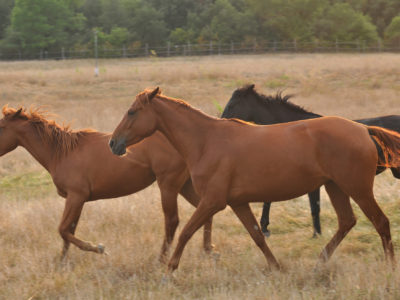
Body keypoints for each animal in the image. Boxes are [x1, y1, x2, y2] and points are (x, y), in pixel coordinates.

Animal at [0, 106, 214, 262]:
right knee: (205, 211)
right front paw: (62, 262)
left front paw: (98, 248)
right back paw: (208, 250)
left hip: (168, 185)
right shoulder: (77, 200)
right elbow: (68, 232)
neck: (61, 153)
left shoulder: (76, 196)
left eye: (1, 128)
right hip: (185, 186)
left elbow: (63, 230)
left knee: (172, 221)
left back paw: (162, 259)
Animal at [110, 86, 400, 272]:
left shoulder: (212, 201)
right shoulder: (237, 202)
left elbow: (185, 232)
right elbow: (257, 235)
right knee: (347, 222)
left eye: (132, 112)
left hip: (357, 188)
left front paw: (169, 269)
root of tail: (363, 129)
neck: (206, 141)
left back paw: (388, 268)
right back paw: (320, 262)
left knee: (381, 222)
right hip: (335, 186)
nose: (114, 143)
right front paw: (277, 268)